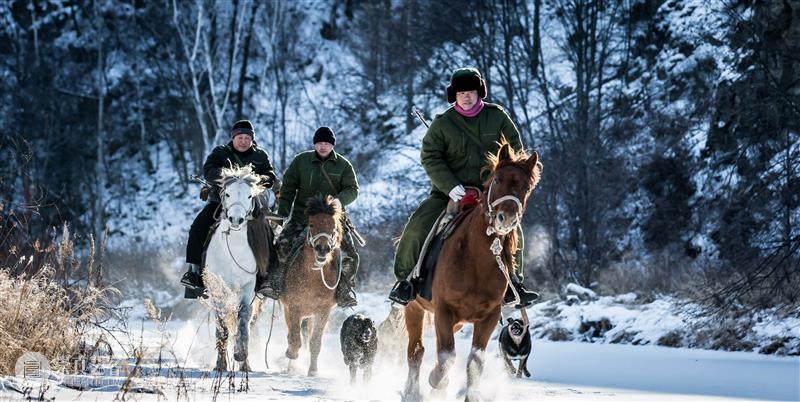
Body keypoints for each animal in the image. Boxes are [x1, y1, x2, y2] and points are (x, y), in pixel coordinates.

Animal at [203, 165, 272, 372]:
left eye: (250, 196)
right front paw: (220, 364)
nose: (236, 219)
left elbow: (243, 319)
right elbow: (222, 325)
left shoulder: (248, 288)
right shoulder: (217, 289)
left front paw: (242, 357)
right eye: (227, 193)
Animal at [282, 195, 344, 376]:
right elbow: (294, 338)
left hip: (310, 316)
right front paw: (292, 354)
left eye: (333, 227)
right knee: (292, 333)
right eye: (312, 224)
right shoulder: (294, 306)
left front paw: (313, 371)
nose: (322, 249)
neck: (313, 278)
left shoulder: (323, 311)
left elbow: (315, 342)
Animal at [404, 141, 540, 398]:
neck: (476, 260)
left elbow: (475, 363)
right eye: (497, 179)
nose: (506, 219)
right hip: (415, 308)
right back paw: (412, 393)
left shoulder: (489, 317)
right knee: (416, 351)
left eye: (526, 187)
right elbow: (446, 357)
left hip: (456, 322)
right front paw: (436, 379)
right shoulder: (444, 310)